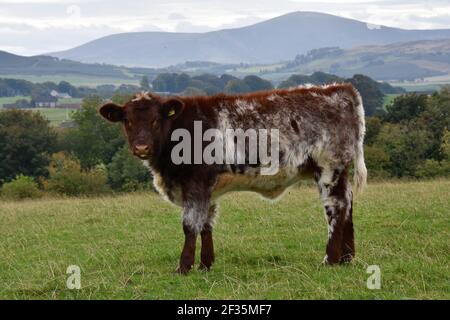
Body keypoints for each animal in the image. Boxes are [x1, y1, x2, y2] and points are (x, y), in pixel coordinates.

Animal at [100, 84, 368, 274]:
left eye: (156, 120)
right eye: (127, 121)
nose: (141, 147)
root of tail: (340, 89)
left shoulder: (195, 183)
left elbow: (190, 225)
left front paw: (183, 267)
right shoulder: (208, 188)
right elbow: (206, 224)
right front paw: (205, 265)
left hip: (329, 167)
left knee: (336, 208)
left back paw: (330, 259)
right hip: (339, 170)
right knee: (349, 205)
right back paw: (347, 258)